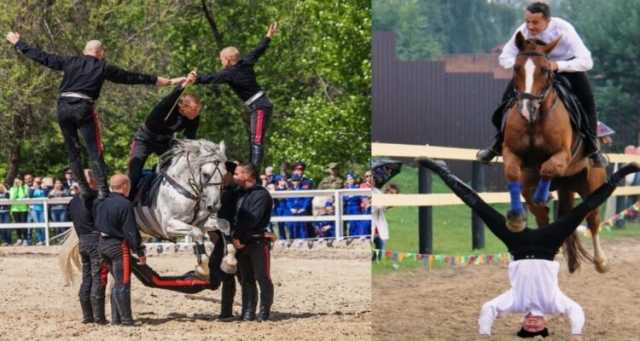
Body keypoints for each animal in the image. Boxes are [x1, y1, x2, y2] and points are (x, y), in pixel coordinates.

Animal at [502, 30, 608, 272]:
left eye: (545, 70)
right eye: (516, 68)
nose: (527, 108)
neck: (535, 121)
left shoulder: (562, 155)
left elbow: (549, 167)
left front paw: (543, 195)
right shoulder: (511, 152)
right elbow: (513, 172)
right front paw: (516, 218)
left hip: (591, 183)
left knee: (593, 219)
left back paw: (600, 261)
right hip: (553, 187)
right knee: (543, 217)